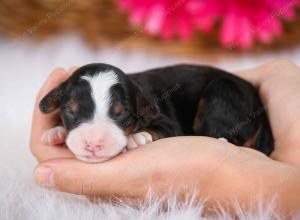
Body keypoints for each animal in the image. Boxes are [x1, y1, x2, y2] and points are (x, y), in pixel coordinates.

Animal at [39, 62, 274, 162]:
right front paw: (55, 132)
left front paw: (138, 137)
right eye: (70, 111)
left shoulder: (167, 121)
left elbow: (160, 129)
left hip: (222, 91)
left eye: (121, 114)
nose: (93, 144)